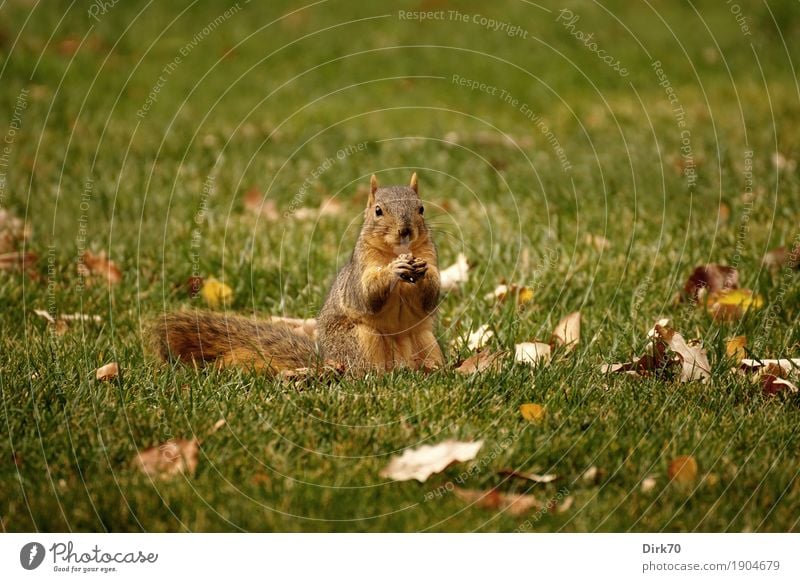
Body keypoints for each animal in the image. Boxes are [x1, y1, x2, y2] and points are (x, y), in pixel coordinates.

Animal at [152, 173, 444, 374]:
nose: (405, 231)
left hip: (426, 341)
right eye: (378, 211)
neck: (397, 252)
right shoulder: (360, 270)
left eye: (421, 208)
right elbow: (365, 295)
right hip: (362, 342)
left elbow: (429, 296)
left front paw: (425, 273)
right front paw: (393, 270)